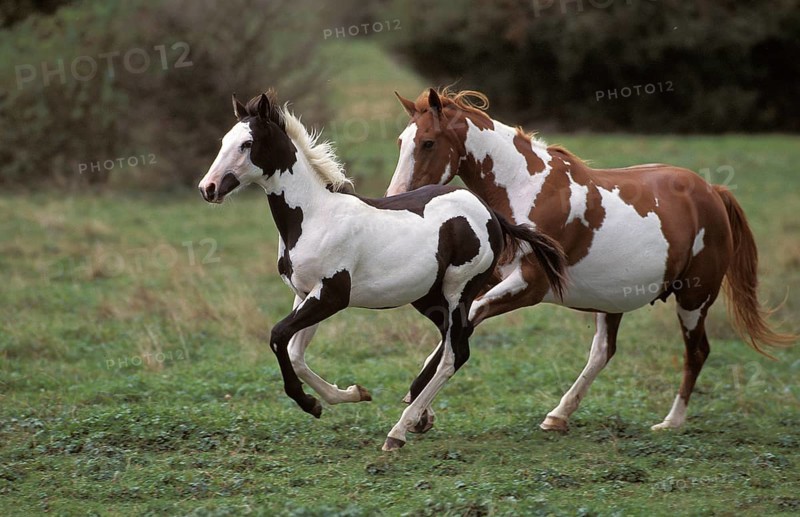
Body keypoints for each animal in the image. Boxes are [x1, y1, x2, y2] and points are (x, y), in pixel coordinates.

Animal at [197, 91, 568, 450]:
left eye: (247, 144)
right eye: (223, 141)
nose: (208, 188)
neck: (313, 216)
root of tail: (490, 214)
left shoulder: (332, 296)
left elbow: (277, 337)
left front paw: (309, 404)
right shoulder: (304, 295)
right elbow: (295, 353)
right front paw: (352, 394)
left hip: (458, 291)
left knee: (455, 354)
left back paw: (399, 431)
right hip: (428, 297)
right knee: (454, 342)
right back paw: (420, 415)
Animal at [387, 87, 794, 433]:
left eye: (427, 142)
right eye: (401, 142)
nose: (395, 198)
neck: (524, 190)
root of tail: (713, 190)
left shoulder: (530, 286)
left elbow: (467, 322)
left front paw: (415, 410)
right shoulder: (487, 277)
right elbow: (455, 329)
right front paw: (421, 410)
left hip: (694, 298)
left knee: (697, 351)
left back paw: (671, 422)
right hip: (613, 298)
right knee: (603, 352)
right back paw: (558, 415)